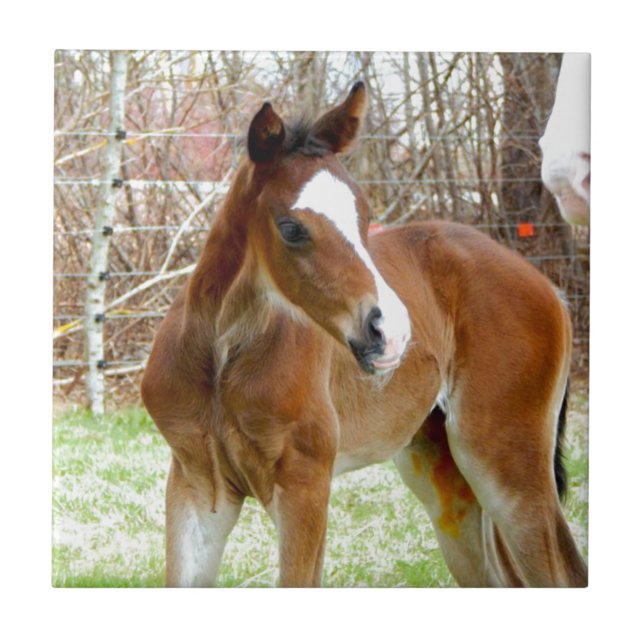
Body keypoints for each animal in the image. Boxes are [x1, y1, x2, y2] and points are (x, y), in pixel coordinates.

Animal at [141, 82, 588, 587]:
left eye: (365, 214)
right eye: (291, 228)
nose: (390, 330)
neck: (220, 359)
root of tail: (549, 287)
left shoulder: (305, 484)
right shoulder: (196, 486)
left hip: (504, 463)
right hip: (447, 479)